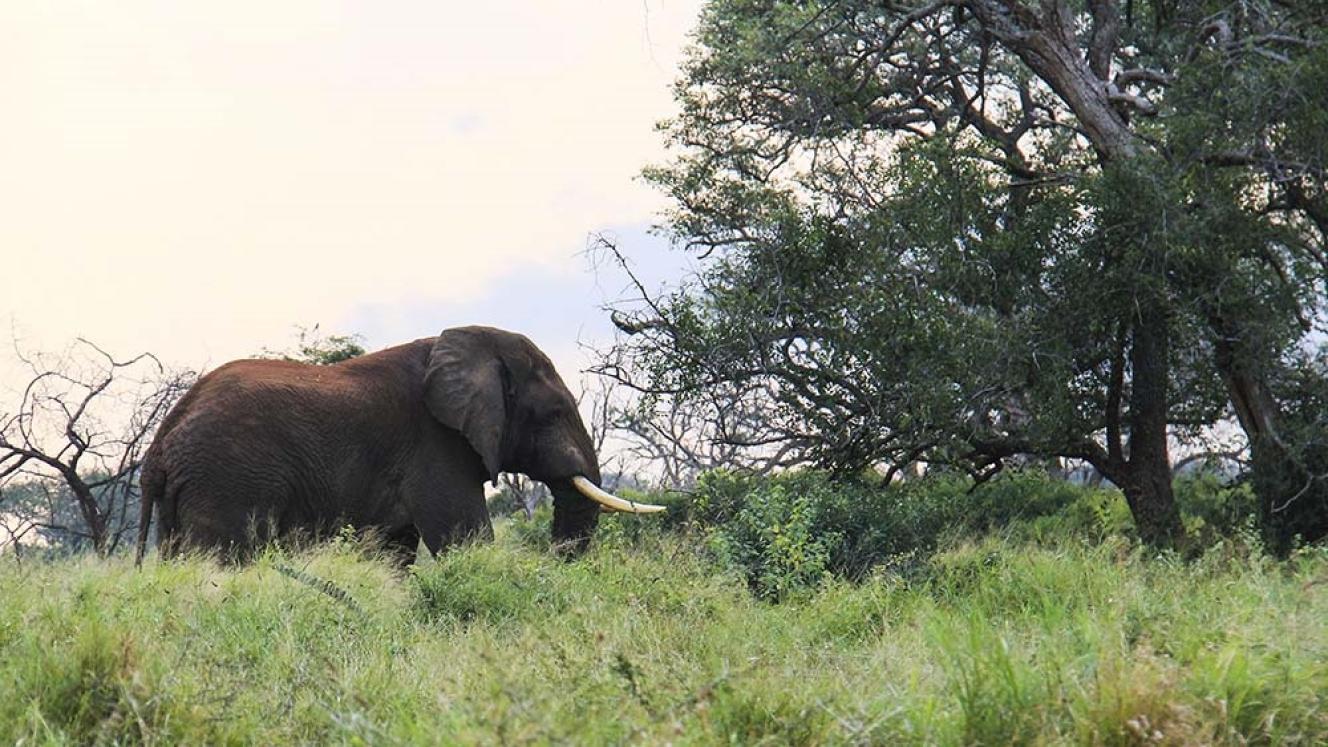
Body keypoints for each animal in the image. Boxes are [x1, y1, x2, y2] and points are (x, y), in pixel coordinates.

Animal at [135, 325, 663, 565]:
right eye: (552, 413)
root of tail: (160, 446)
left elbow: (395, 553)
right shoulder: (434, 443)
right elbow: (464, 537)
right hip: (227, 482)